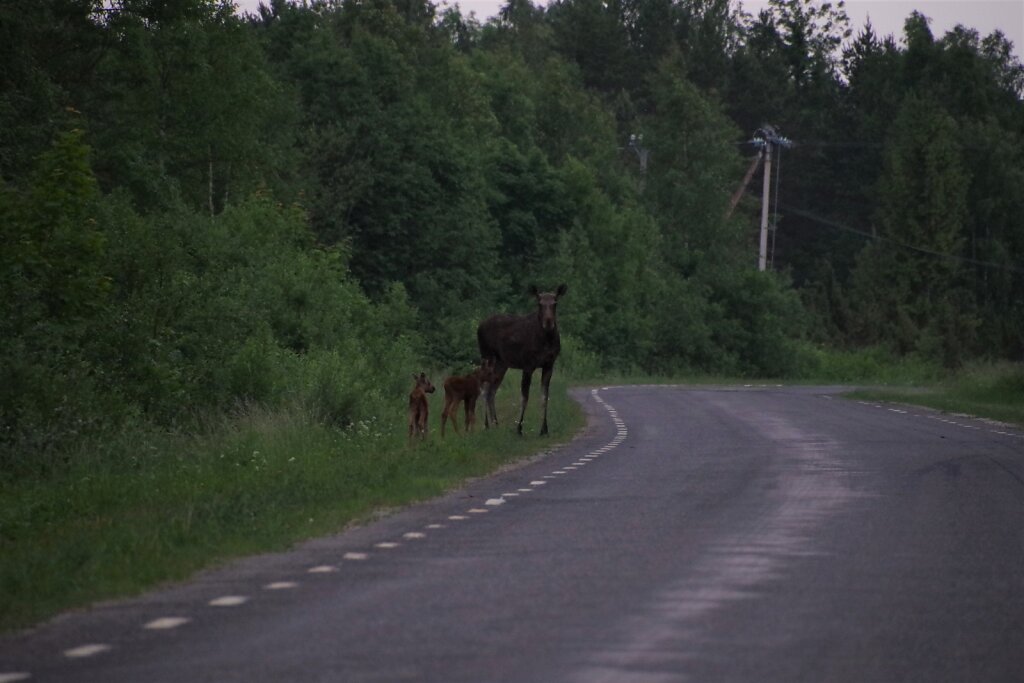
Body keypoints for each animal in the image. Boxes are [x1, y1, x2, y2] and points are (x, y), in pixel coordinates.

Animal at [475, 284, 565, 436]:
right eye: (539, 303)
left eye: (555, 303)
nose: (548, 322)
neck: (546, 340)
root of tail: (479, 327)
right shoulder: (528, 365)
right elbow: (524, 398)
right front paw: (519, 429)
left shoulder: (549, 365)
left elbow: (544, 398)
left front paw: (544, 430)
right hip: (487, 356)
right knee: (484, 389)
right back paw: (486, 425)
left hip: (502, 364)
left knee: (492, 391)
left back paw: (496, 424)